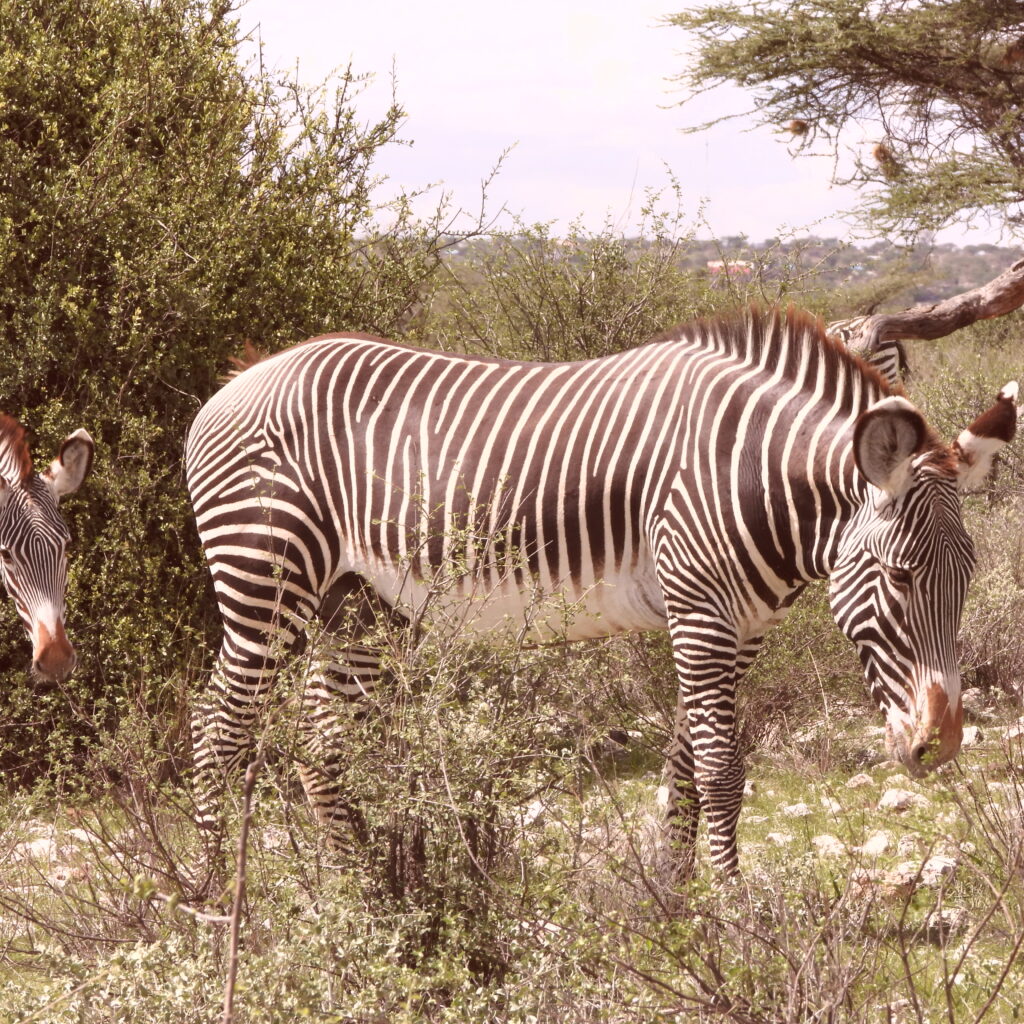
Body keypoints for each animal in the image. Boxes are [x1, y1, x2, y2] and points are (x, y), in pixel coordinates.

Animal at [186, 305, 1016, 876]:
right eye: (901, 577)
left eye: (968, 580)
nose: (939, 746)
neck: (751, 475)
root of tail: (235, 381)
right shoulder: (701, 615)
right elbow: (723, 771)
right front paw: (738, 914)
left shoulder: (739, 628)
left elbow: (685, 767)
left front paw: (677, 902)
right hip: (265, 579)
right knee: (217, 729)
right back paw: (210, 902)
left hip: (362, 605)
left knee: (321, 746)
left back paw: (365, 898)